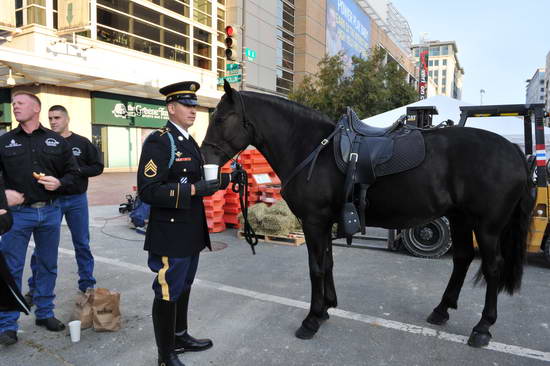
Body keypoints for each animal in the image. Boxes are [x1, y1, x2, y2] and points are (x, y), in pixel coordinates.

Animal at [202, 81, 536, 348]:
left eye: (219, 117)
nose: (206, 157)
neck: (312, 148)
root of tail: (515, 152)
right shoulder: (325, 222)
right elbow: (328, 263)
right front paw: (326, 308)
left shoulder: (314, 221)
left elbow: (316, 267)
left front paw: (312, 319)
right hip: (460, 219)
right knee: (463, 258)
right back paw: (441, 310)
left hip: (488, 227)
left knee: (492, 267)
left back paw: (482, 327)